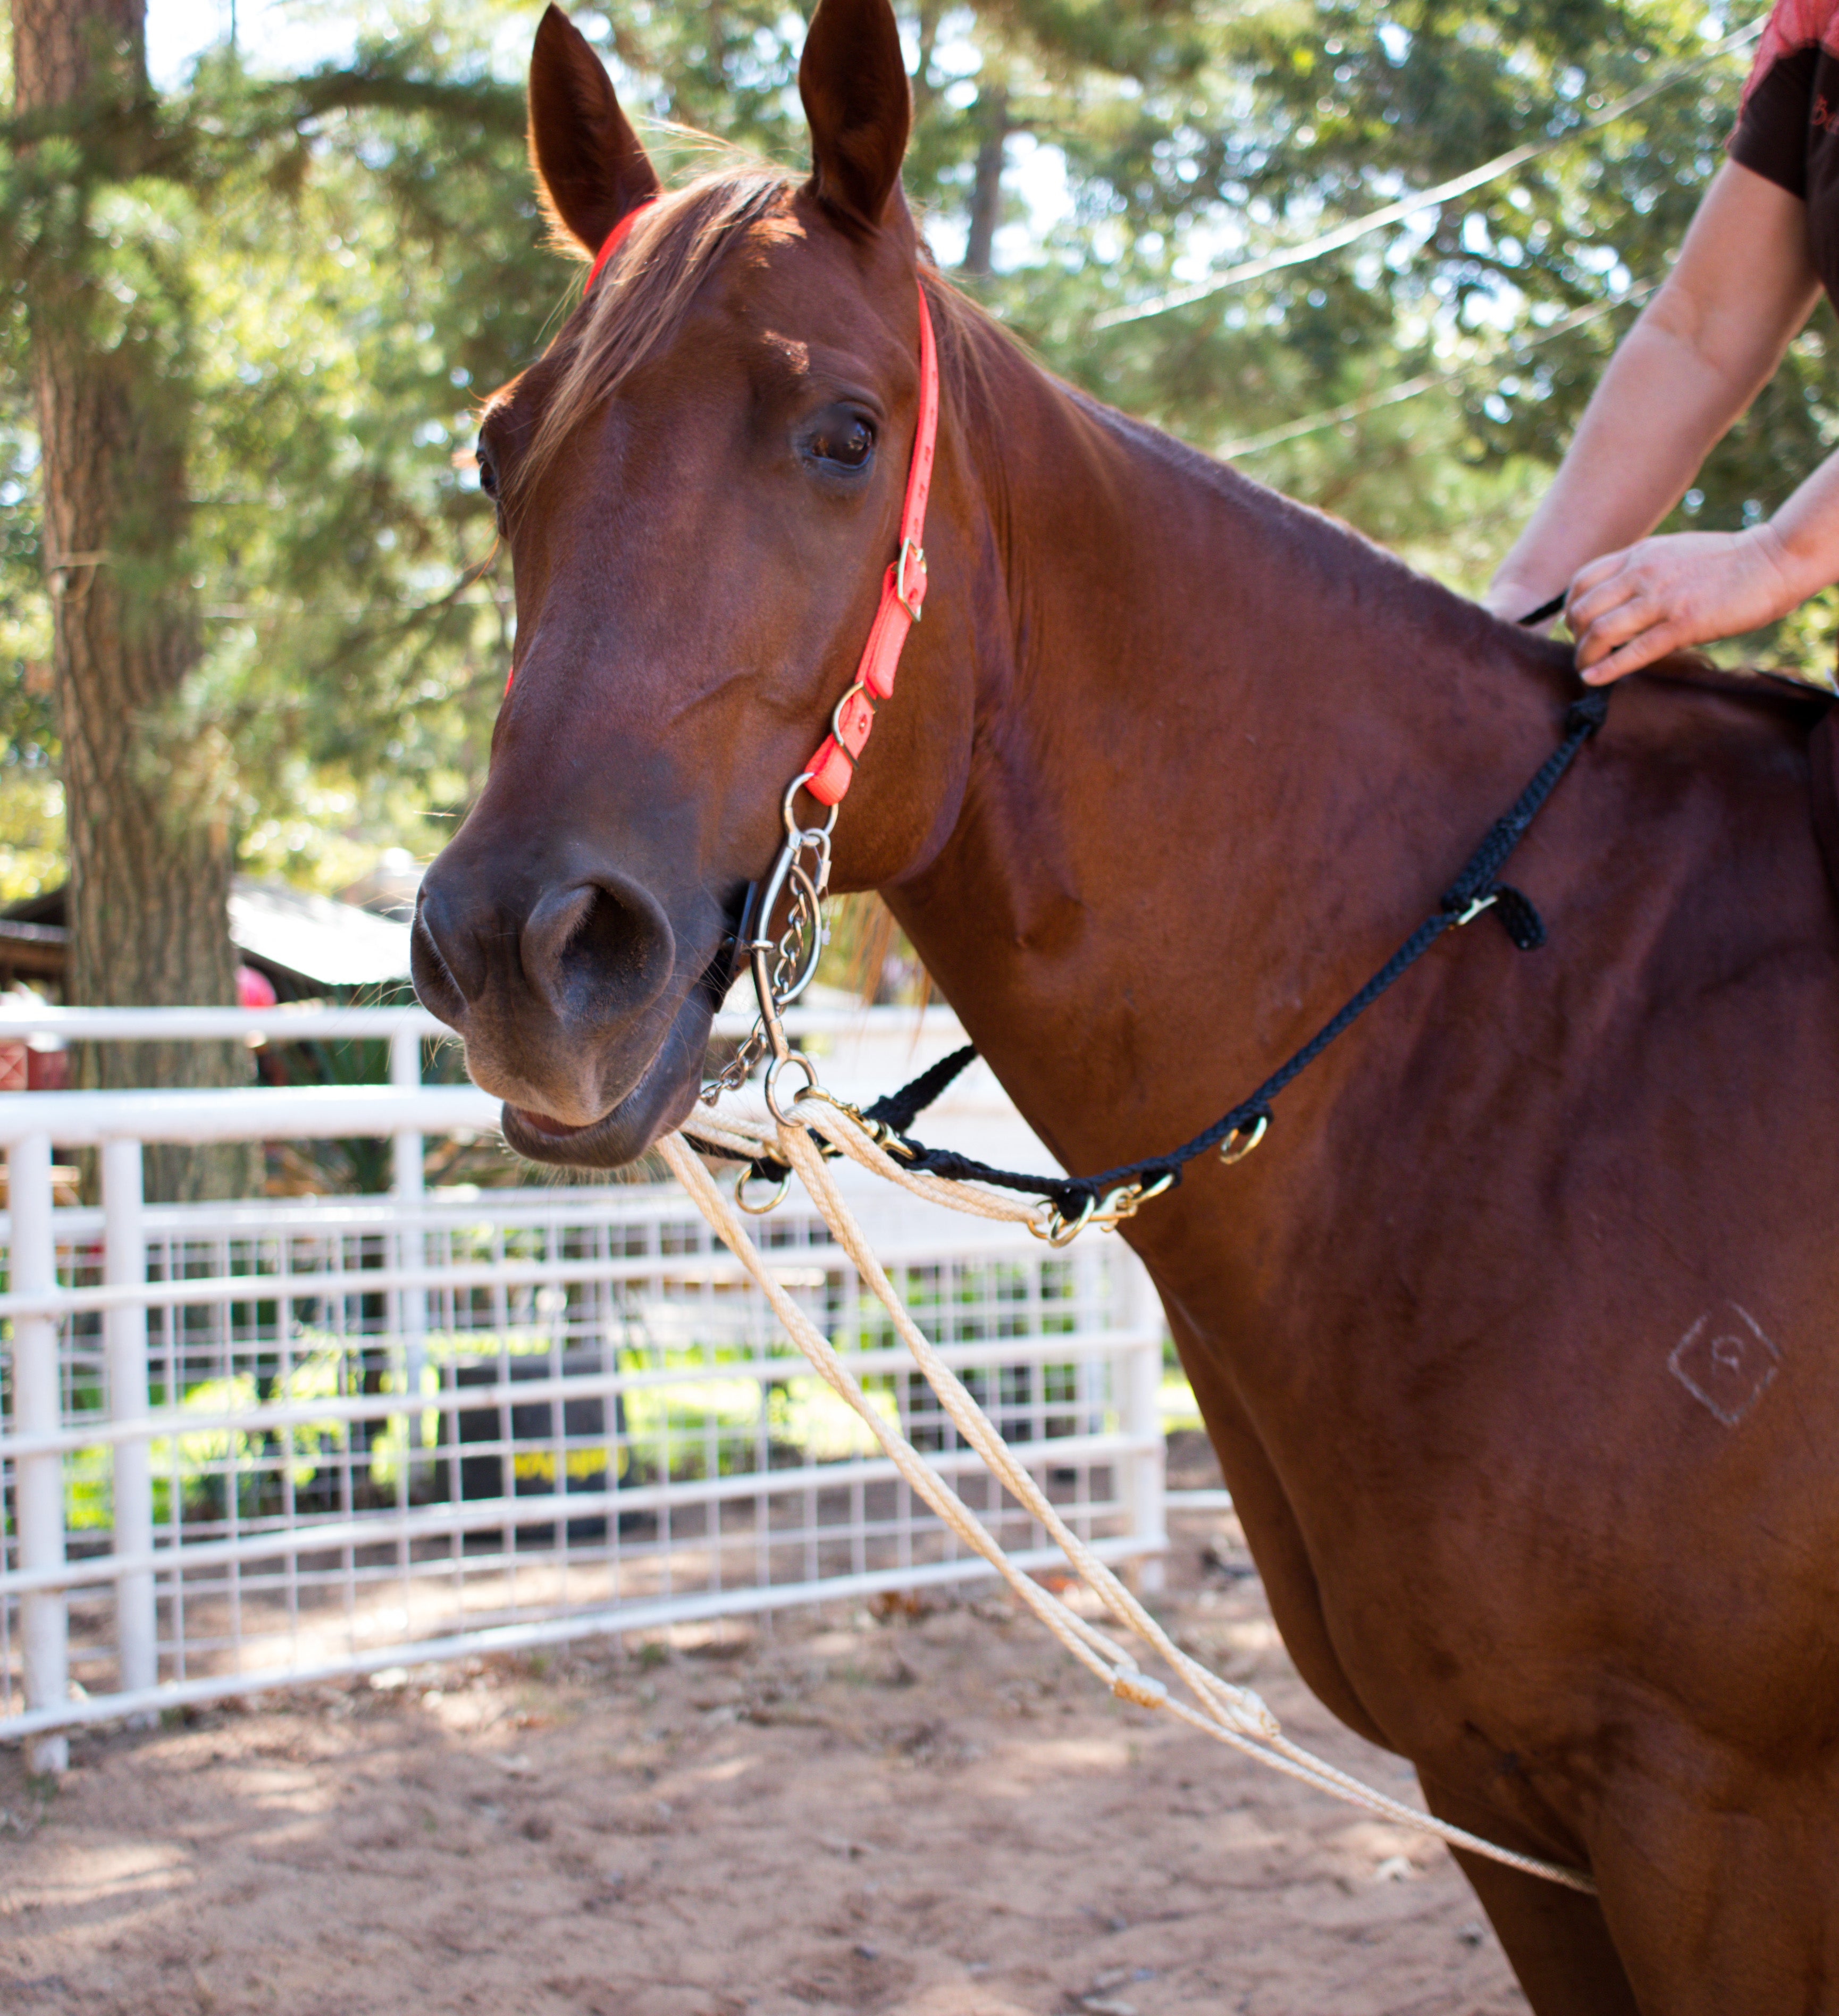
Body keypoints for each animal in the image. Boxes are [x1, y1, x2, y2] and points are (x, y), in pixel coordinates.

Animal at [413, 7, 1839, 2007]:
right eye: (495, 454)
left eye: (840, 434)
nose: (523, 951)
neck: (1527, 1058)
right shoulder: (1515, 1813)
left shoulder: (1717, 1826)